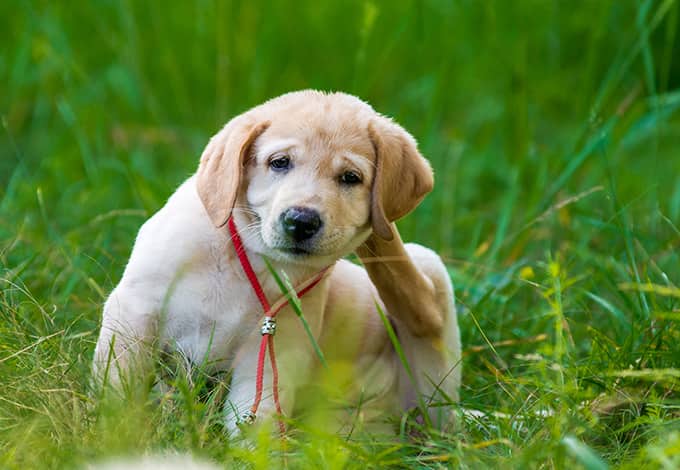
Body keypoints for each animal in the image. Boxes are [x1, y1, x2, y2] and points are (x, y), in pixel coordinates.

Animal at [91, 90, 462, 436]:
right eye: (280, 163)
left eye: (350, 177)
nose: (301, 221)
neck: (249, 259)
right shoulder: (136, 310)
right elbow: (120, 385)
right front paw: (115, 433)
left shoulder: (273, 354)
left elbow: (257, 425)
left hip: (429, 325)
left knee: (421, 309)